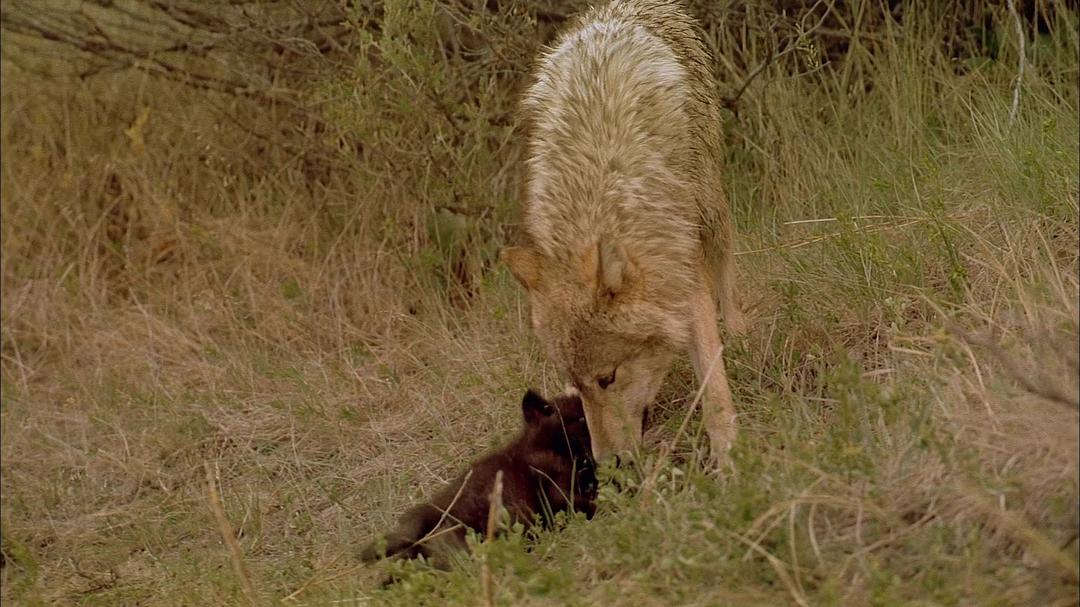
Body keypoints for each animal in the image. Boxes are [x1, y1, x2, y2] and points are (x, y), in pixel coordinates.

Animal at [502, 0, 744, 468]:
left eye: (608, 377)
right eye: (578, 382)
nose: (607, 464)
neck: (595, 201)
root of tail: (619, 9)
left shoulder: (682, 267)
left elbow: (711, 376)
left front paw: (728, 452)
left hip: (711, 205)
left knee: (727, 263)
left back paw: (742, 331)